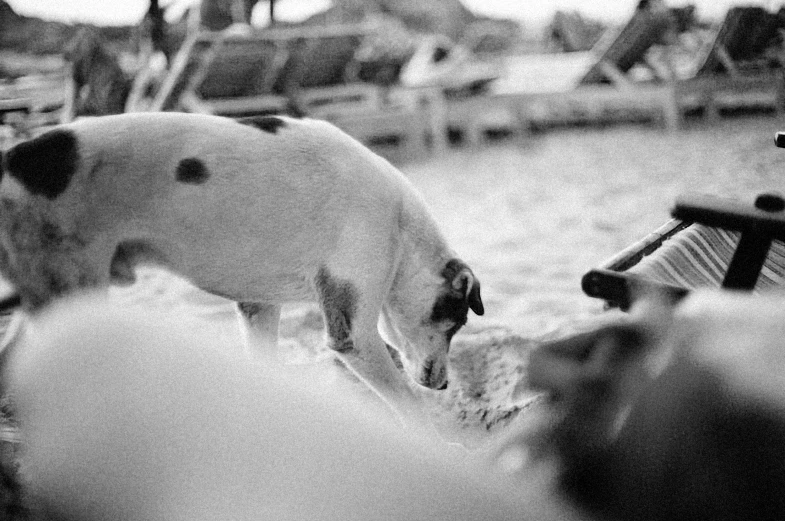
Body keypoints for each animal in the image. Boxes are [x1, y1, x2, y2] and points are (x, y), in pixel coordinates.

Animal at [0, 111, 484, 424]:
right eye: (455, 323)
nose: (445, 387)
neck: (402, 226)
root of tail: (14, 158)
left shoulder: (259, 307)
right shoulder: (353, 336)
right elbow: (407, 405)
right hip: (73, 296)